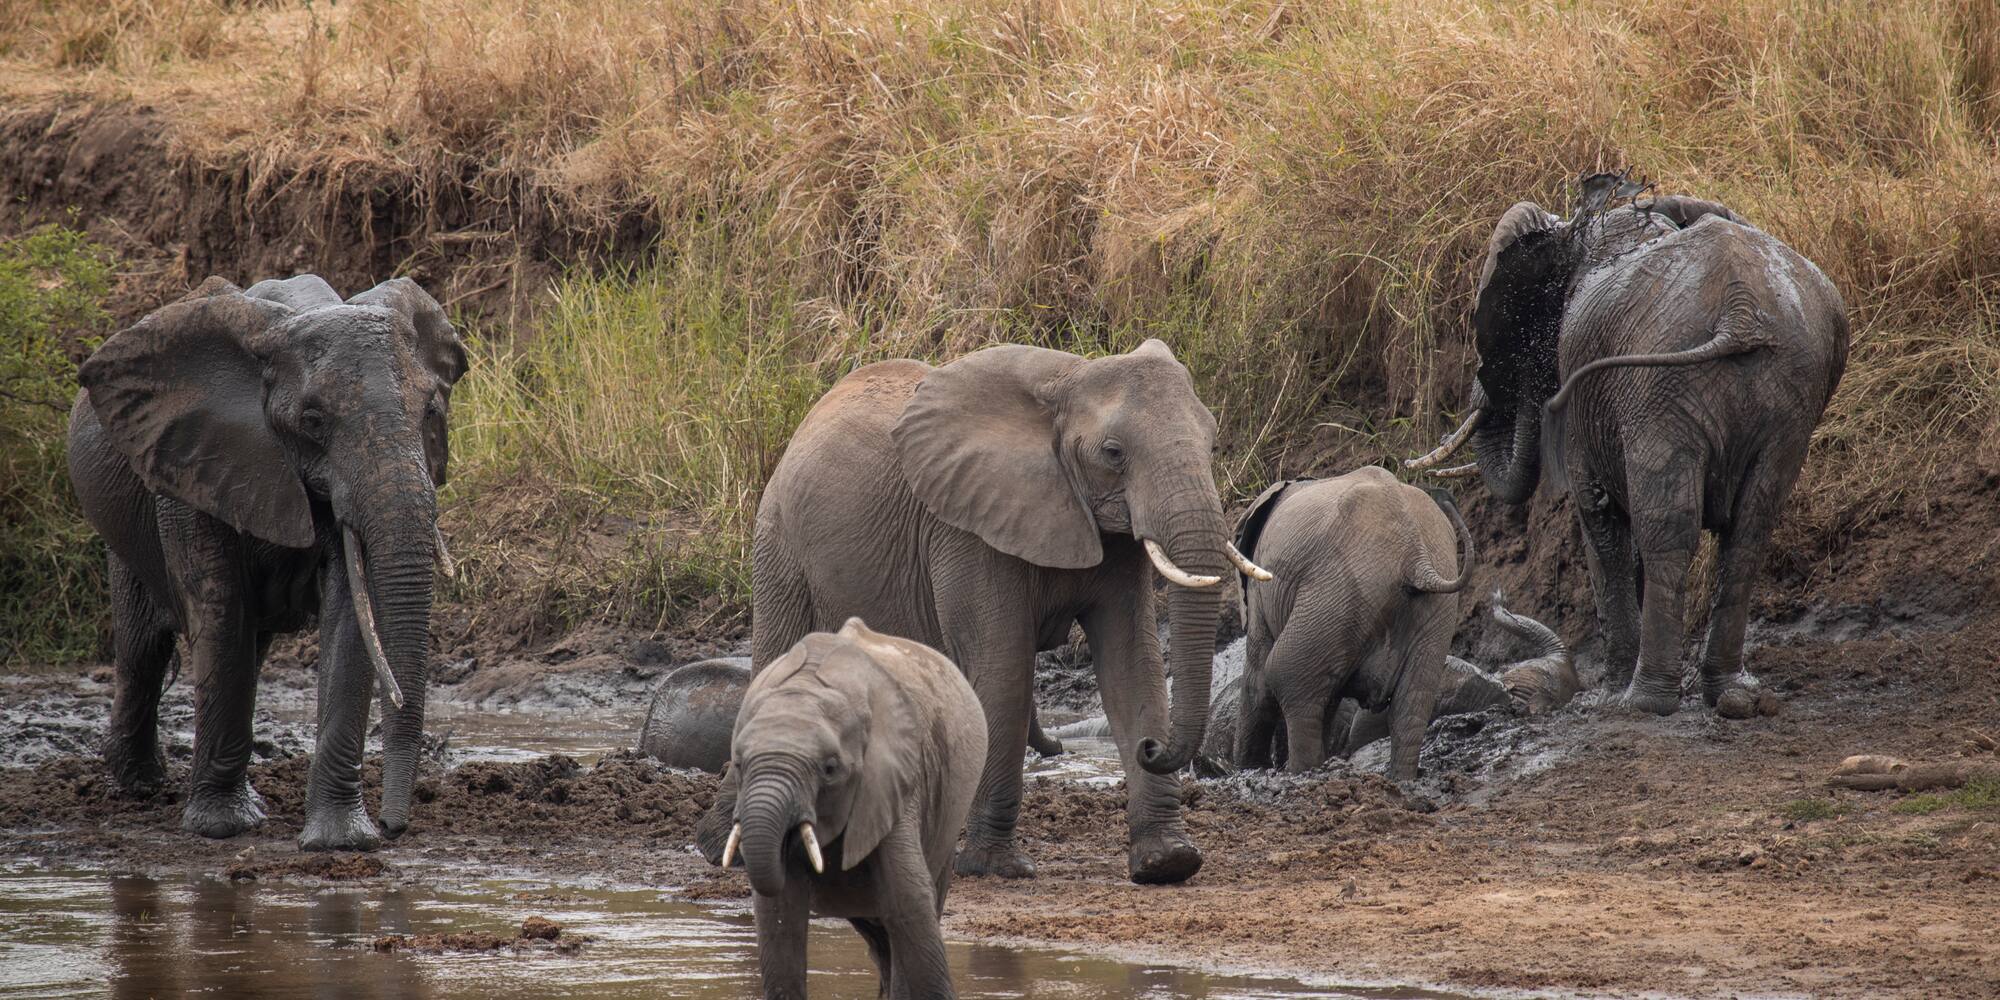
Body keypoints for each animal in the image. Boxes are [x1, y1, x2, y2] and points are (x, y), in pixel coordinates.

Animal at [66, 274, 466, 849]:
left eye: (431, 412)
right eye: (313, 421)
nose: (396, 828)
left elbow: (349, 619)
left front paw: (340, 842)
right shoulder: (190, 466)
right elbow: (219, 611)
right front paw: (222, 828)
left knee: (243, 651)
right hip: (125, 524)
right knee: (144, 651)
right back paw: (139, 786)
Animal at [699, 339, 1268, 885]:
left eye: (1212, 443)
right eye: (1113, 453)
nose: (1152, 747)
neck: (1068, 380)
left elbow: (1133, 664)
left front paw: (1168, 863)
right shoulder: (967, 529)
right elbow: (1003, 670)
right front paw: (996, 868)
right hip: (780, 544)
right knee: (778, 662)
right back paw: (730, 849)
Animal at [713, 619, 987, 1000]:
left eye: (830, 768)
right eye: (738, 764)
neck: (810, 684)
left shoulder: (894, 782)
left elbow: (910, 901)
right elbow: (779, 913)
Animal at [1231, 468, 1472, 779]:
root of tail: (1416, 556)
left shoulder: (1261, 588)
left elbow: (1258, 678)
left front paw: (1249, 769)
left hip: (1340, 589)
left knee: (1285, 675)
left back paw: (1300, 773)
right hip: (1432, 607)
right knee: (1412, 705)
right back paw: (1399, 779)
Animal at [1407, 172, 1848, 715]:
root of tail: (1740, 309)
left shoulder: (1587, 396)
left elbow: (1597, 515)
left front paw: (1609, 691)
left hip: (1659, 388)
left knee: (1668, 528)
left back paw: (1641, 701)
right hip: (1788, 394)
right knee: (1748, 530)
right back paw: (1732, 695)